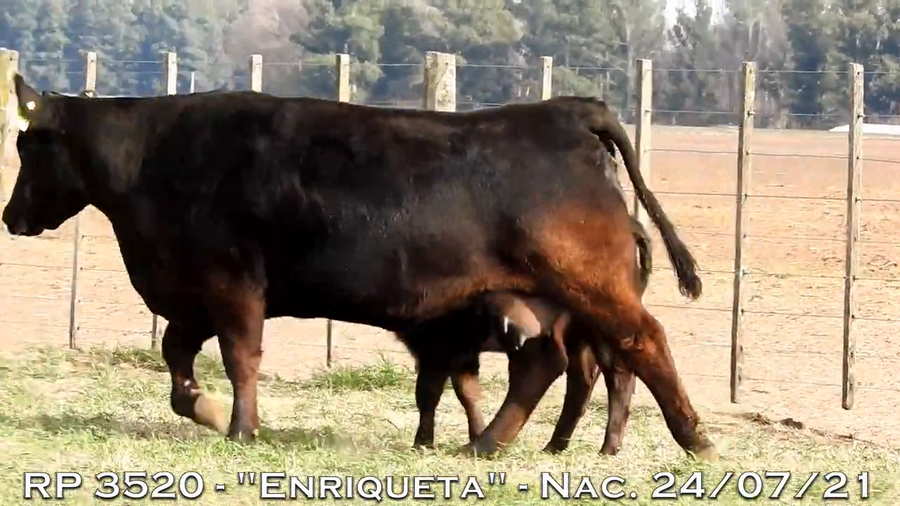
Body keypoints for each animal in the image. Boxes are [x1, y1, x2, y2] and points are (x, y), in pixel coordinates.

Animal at [3, 74, 716, 461]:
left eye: (28, 145)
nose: (11, 216)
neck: (160, 156)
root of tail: (564, 110)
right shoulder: (194, 295)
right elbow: (178, 361)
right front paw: (206, 411)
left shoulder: (233, 286)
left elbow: (240, 358)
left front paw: (240, 427)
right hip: (532, 301)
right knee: (547, 364)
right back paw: (487, 443)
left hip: (591, 286)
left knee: (640, 342)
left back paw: (694, 439)